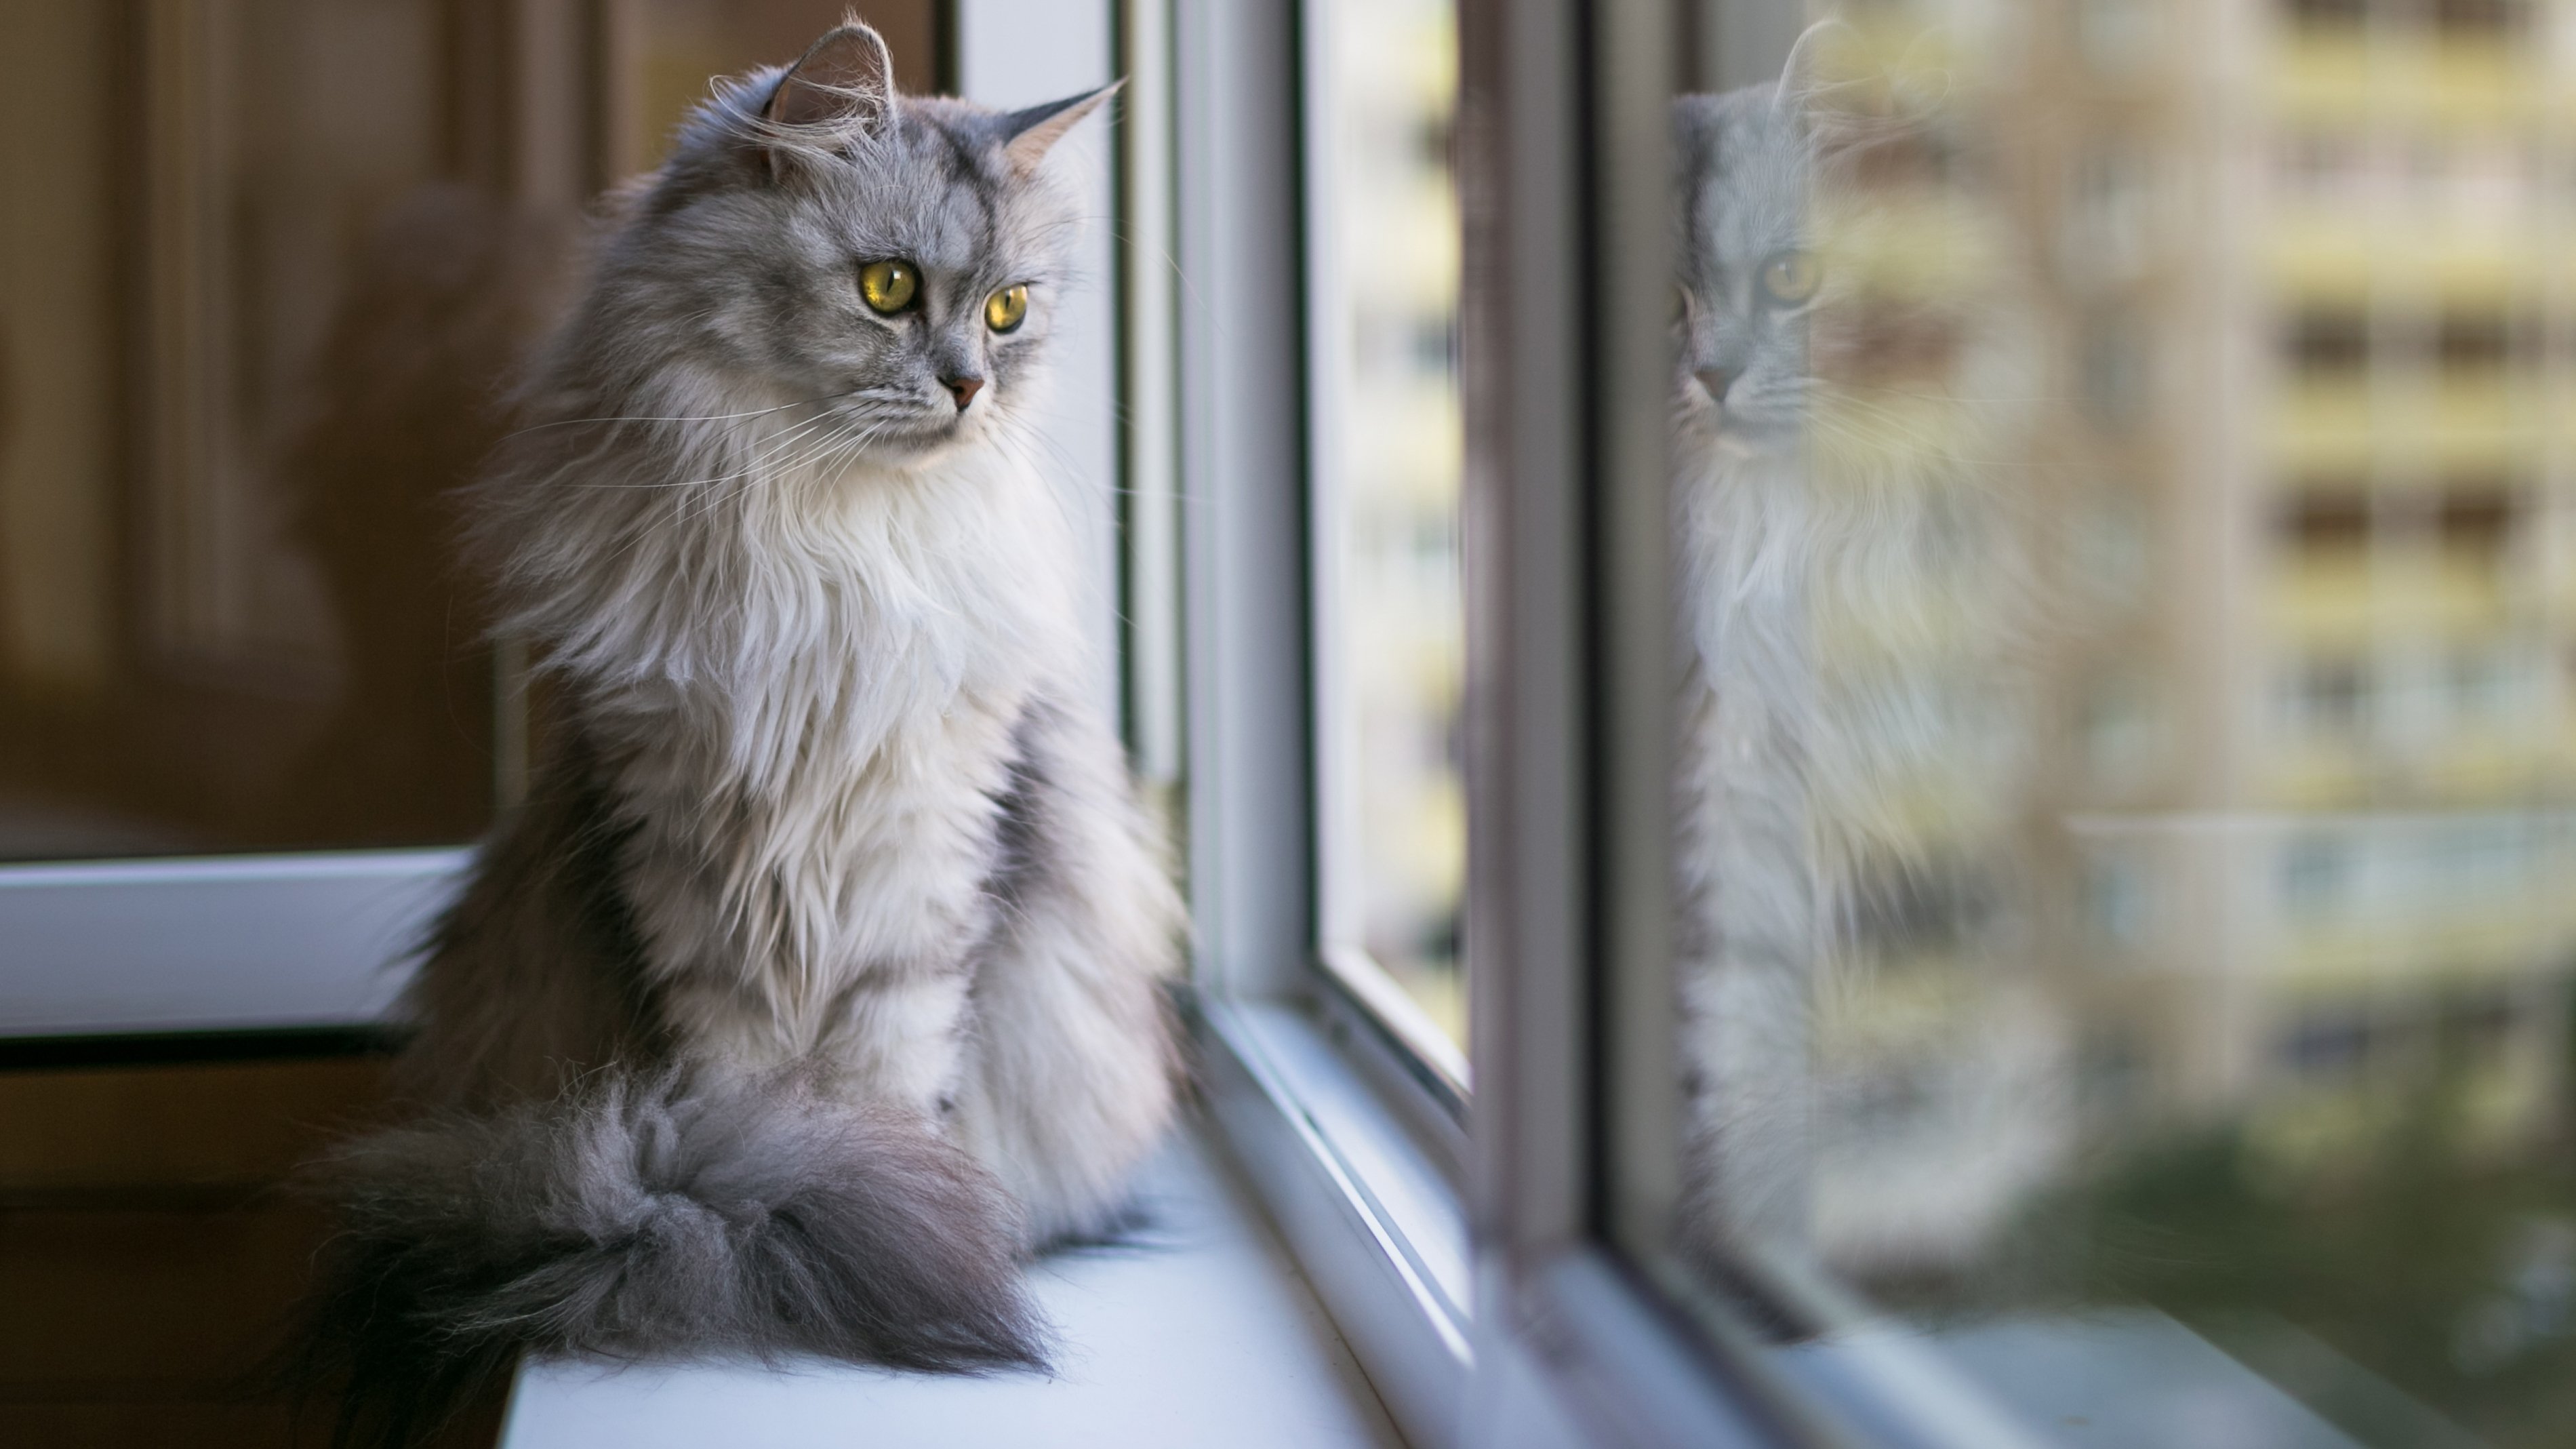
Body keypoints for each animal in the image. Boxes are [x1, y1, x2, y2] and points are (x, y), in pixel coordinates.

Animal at [296, 25, 1180, 1444]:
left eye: (1007, 311)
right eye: (888, 288)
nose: (971, 389)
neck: (821, 541)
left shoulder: (925, 856)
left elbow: (888, 1083)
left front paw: (878, 1210)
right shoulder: (682, 844)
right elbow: (745, 1087)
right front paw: (792, 1206)